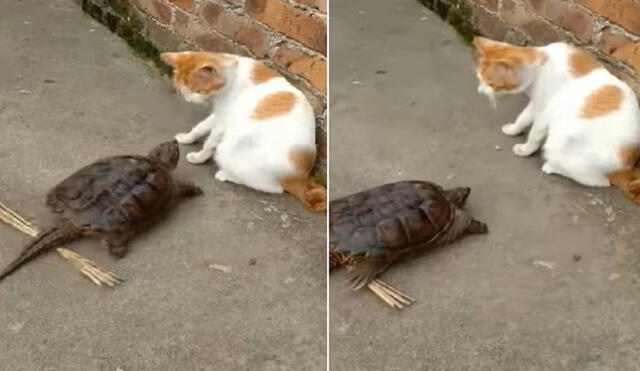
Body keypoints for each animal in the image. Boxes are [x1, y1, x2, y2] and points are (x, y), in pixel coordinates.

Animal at [162, 51, 328, 212]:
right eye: (183, 90)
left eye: (197, 91)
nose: (188, 99)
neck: (232, 76)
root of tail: (300, 179)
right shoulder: (220, 114)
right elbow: (201, 126)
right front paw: (187, 138)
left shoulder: (225, 121)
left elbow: (210, 142)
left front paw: (199, 157)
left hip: (229, 148)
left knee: (272, 188)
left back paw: (224, 174)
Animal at [472, 35, 640, 203]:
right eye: (479, 79)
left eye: (490, 84)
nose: (479, 91)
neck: (541, 62)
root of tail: (628, 166)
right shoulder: (538, 102)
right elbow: (523, 118)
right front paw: (513, 130)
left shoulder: (545, 111)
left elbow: (534, 134)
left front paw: (525, 150)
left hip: (560, 142)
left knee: (600, 181)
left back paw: (551, 167)